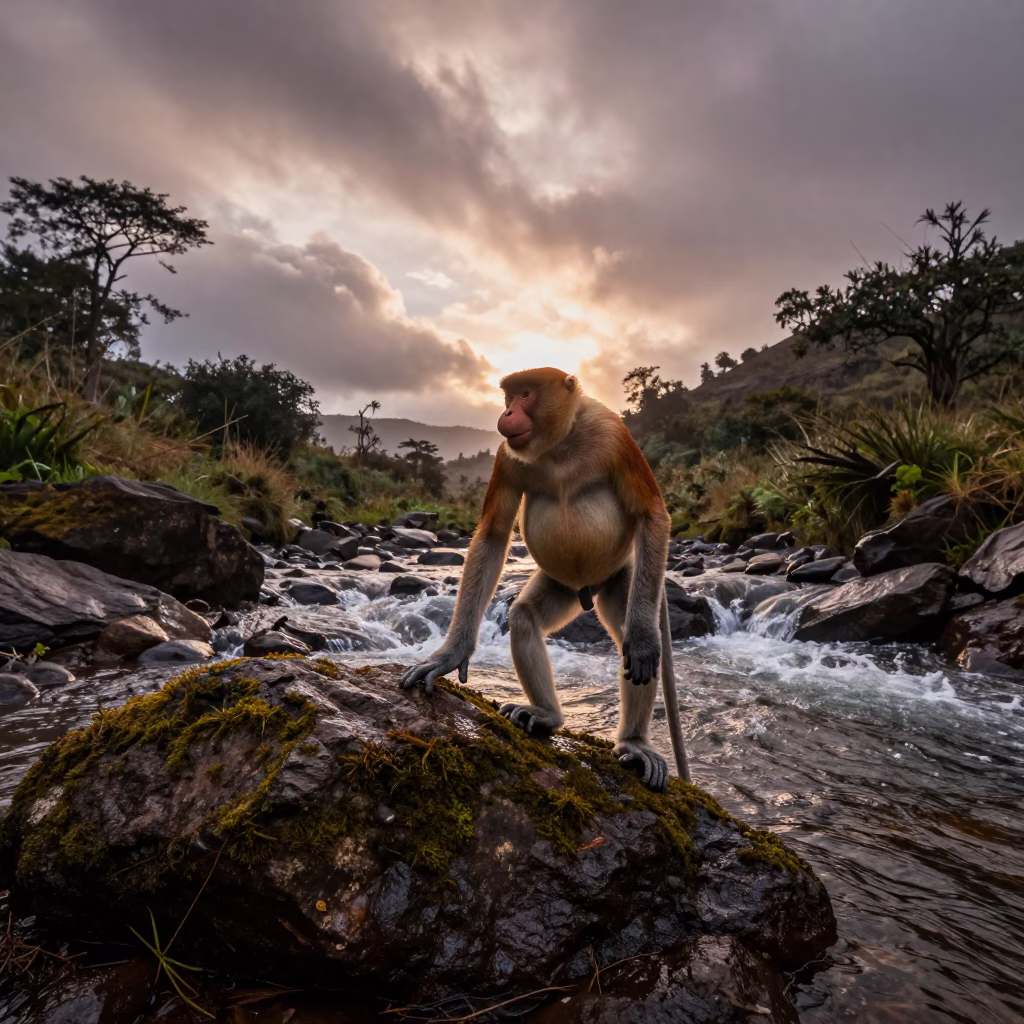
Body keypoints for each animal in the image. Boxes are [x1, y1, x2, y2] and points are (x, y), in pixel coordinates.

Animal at [400, 367, 690, 791]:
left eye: (525, 394)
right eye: (509, 397)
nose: (507, 413)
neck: (559, 445)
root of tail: (587, 590)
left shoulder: (615, 434)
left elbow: (652, 514)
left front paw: (641, 643)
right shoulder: (507, 457)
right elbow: (493, 535)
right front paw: (450, 655)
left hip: (624, 577)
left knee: (629, 639)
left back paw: (634, 742)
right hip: (562, 584)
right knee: (524, 617)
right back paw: (546, 715)